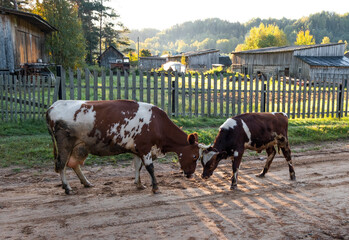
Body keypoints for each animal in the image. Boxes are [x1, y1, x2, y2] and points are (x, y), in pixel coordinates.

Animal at [44, 100, 200, 194]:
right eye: (195, 156)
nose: (191, 174)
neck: (157, 123)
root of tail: (53, 106)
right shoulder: (145, 148)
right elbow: (150, 167)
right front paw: (155, 187)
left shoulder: (137, 149)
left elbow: (138, 167)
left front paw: (139, 184)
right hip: (65, 144)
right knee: (62, 164)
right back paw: (67, 187)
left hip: (80, 147)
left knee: (74, 164)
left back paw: (86, 182)